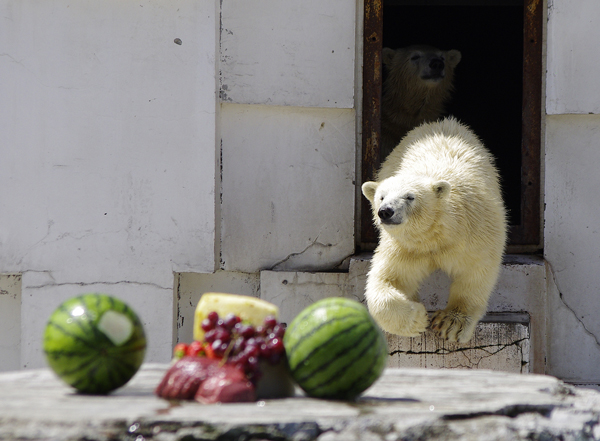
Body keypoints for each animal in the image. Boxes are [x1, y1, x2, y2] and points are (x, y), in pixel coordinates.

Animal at [360, 117, 506, 340]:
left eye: (410, 197)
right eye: (381, 197)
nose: (385, 212)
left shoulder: (476, 231)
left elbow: (476, 271)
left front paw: (451, 323)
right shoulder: (406, 248)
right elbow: (388, 278)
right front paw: (417, 318)